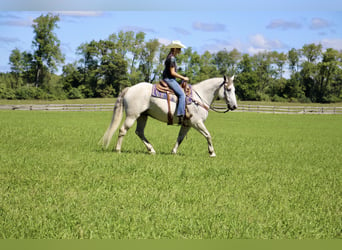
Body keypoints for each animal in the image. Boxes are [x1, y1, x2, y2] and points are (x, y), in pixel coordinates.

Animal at [100, 74, 236, 156]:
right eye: (228, 89)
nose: (234, 106)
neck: (199, 97)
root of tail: (130, 88)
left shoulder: (187, 124)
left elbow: (180, 138)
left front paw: (173, 151)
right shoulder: (197, 122)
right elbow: (208, 135)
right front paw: (212, 153)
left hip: (143, 116)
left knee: (139, 132)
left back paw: (151, 150)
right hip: (132, 116)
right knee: (123, 130)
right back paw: (118, 150)